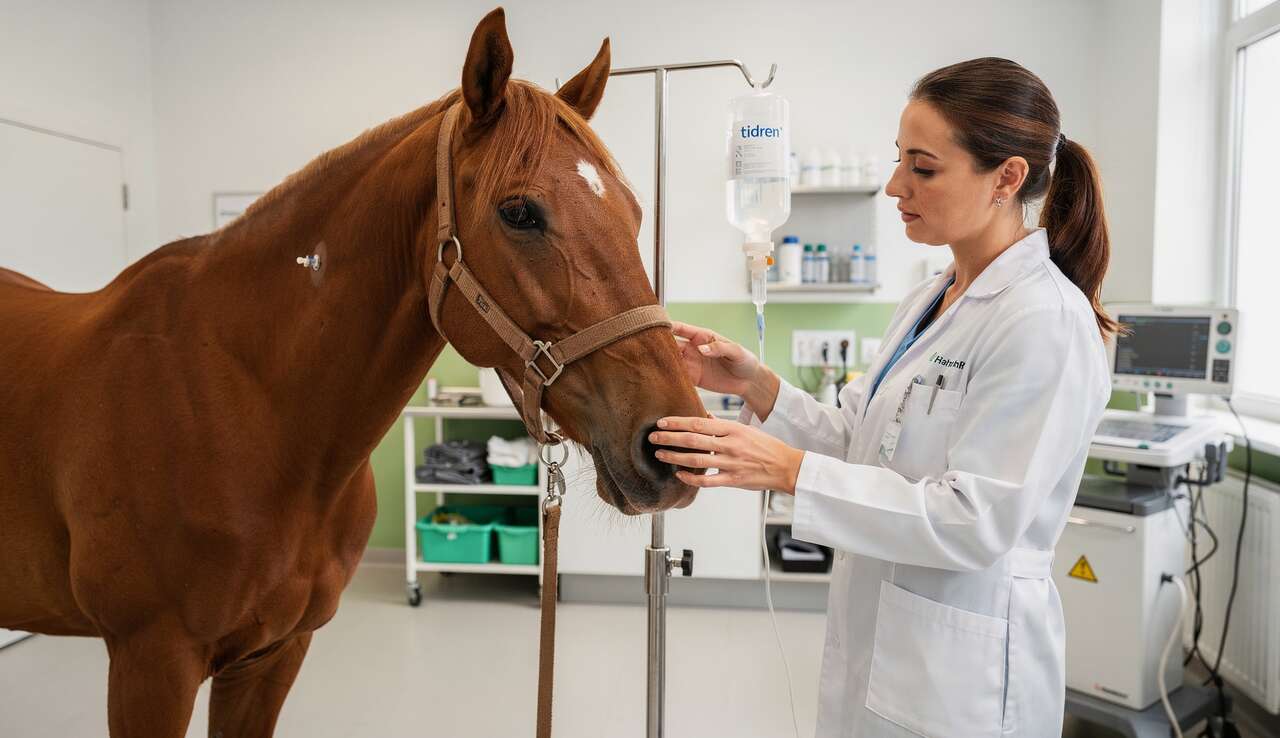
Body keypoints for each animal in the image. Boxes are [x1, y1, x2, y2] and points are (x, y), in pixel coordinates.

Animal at [0, 8, 704, 736]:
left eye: (635, 212)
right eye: (518, 212)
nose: (670, 444)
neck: (246, 406)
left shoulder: (274, 654)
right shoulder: (151, 664)